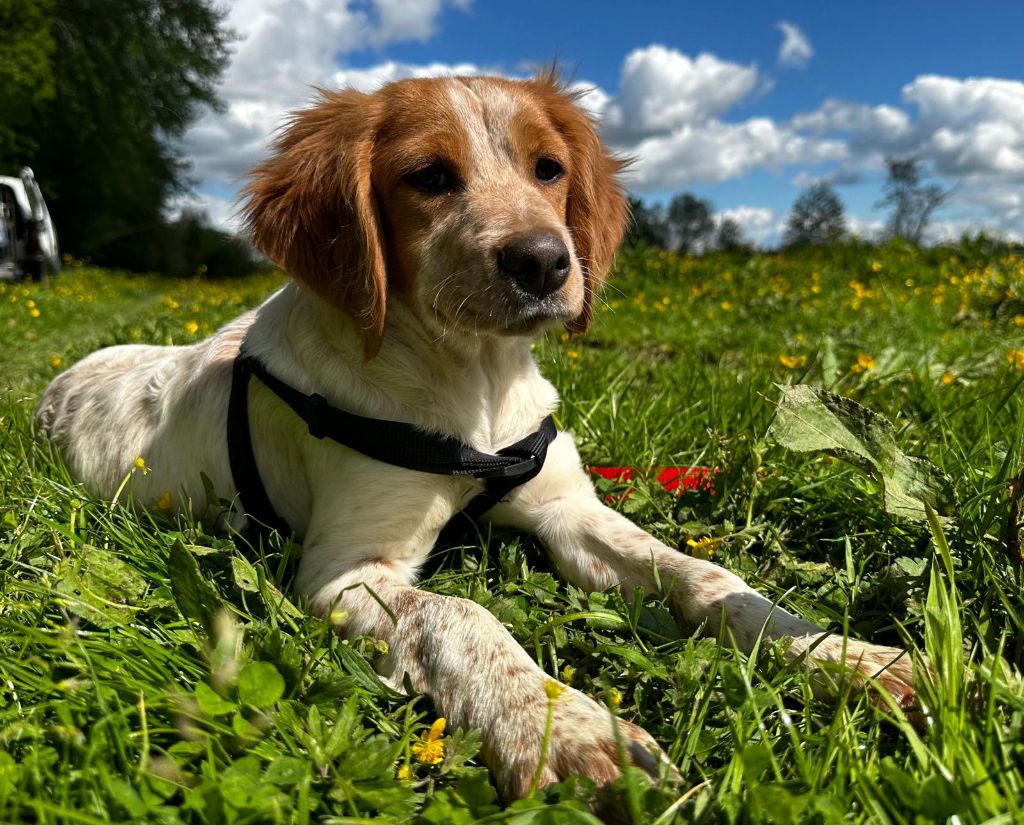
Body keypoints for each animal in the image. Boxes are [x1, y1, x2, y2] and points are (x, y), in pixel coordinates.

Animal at [36, 74, 917, 802]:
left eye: (548, 169)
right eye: (428, 176)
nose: (545, 261)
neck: (473, 390)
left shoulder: (568, 509)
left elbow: (701, 573)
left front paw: (839, 653)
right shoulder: (343, 569)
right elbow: (460, 613)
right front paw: (561, 727)